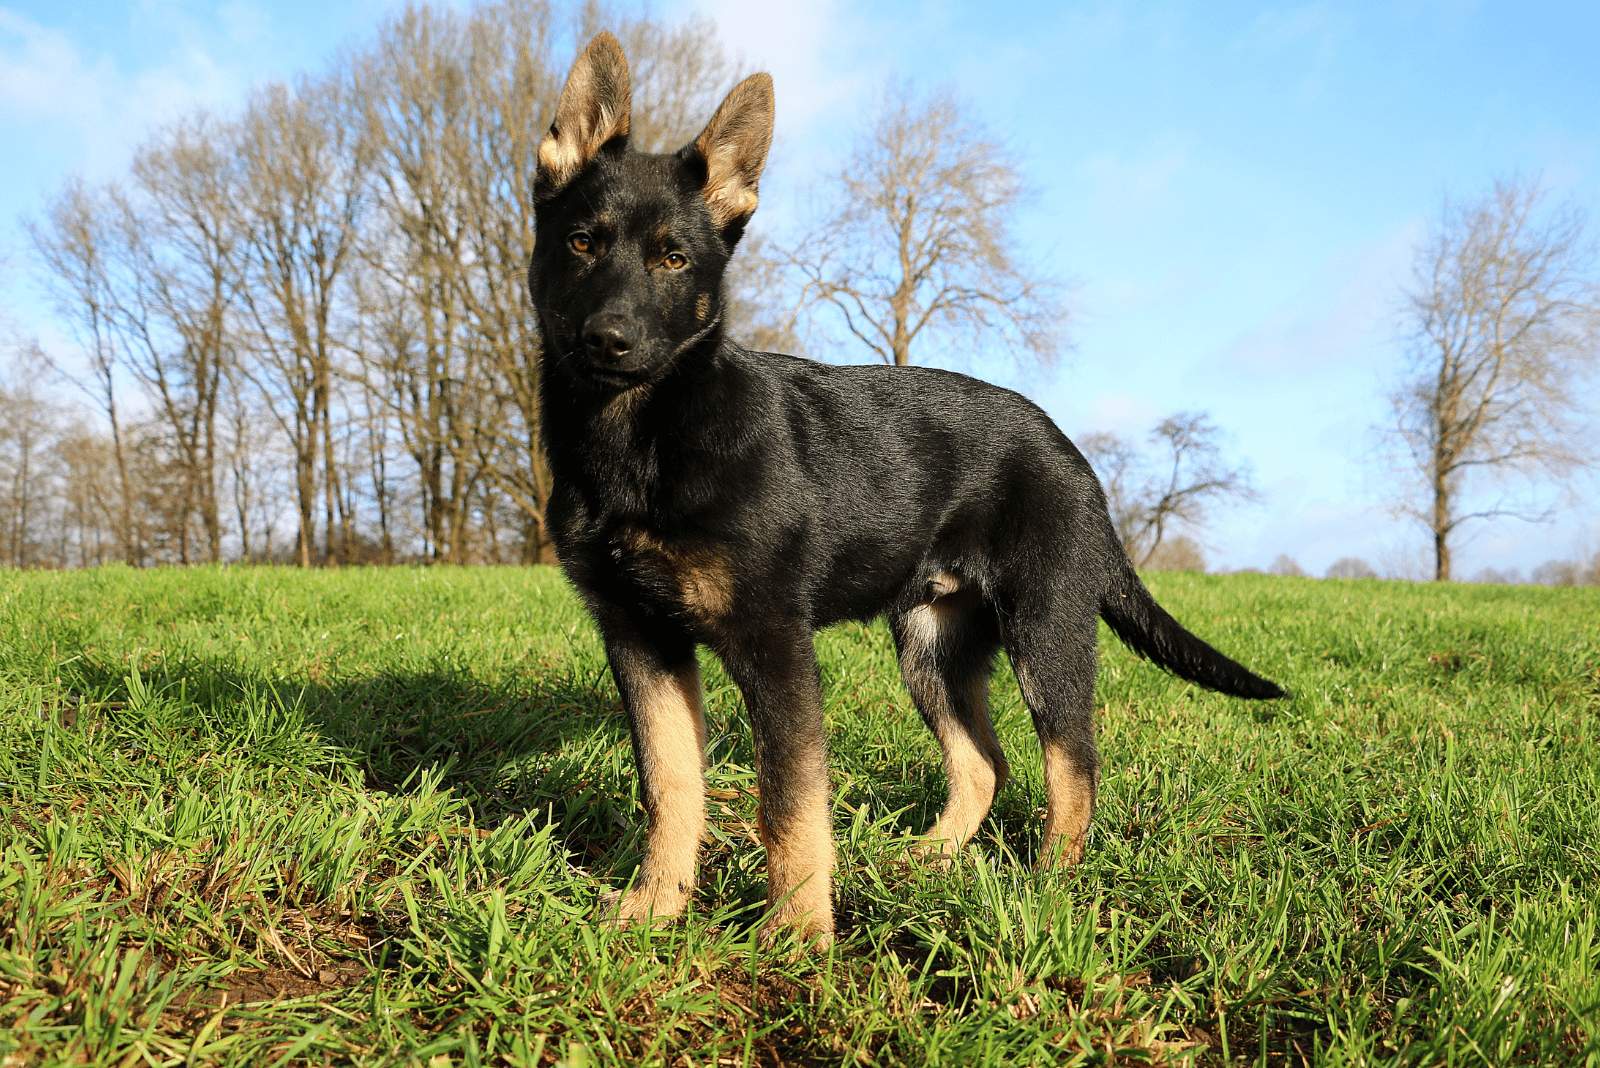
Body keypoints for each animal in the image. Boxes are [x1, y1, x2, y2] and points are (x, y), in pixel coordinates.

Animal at [528, 35, 1286, 952]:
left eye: (674, 260)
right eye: (579, 244)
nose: (610, 339)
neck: (643, 436)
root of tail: (1074, 458)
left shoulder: (774, 644)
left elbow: (790, 805)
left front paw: (796, 936)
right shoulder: (641, 640)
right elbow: (671, 786)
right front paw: (656, 907)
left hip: (1046, 628)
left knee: (1073, 763)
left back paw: (1047, 887)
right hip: (933, 644)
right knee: (985, 764)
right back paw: (926, 862)